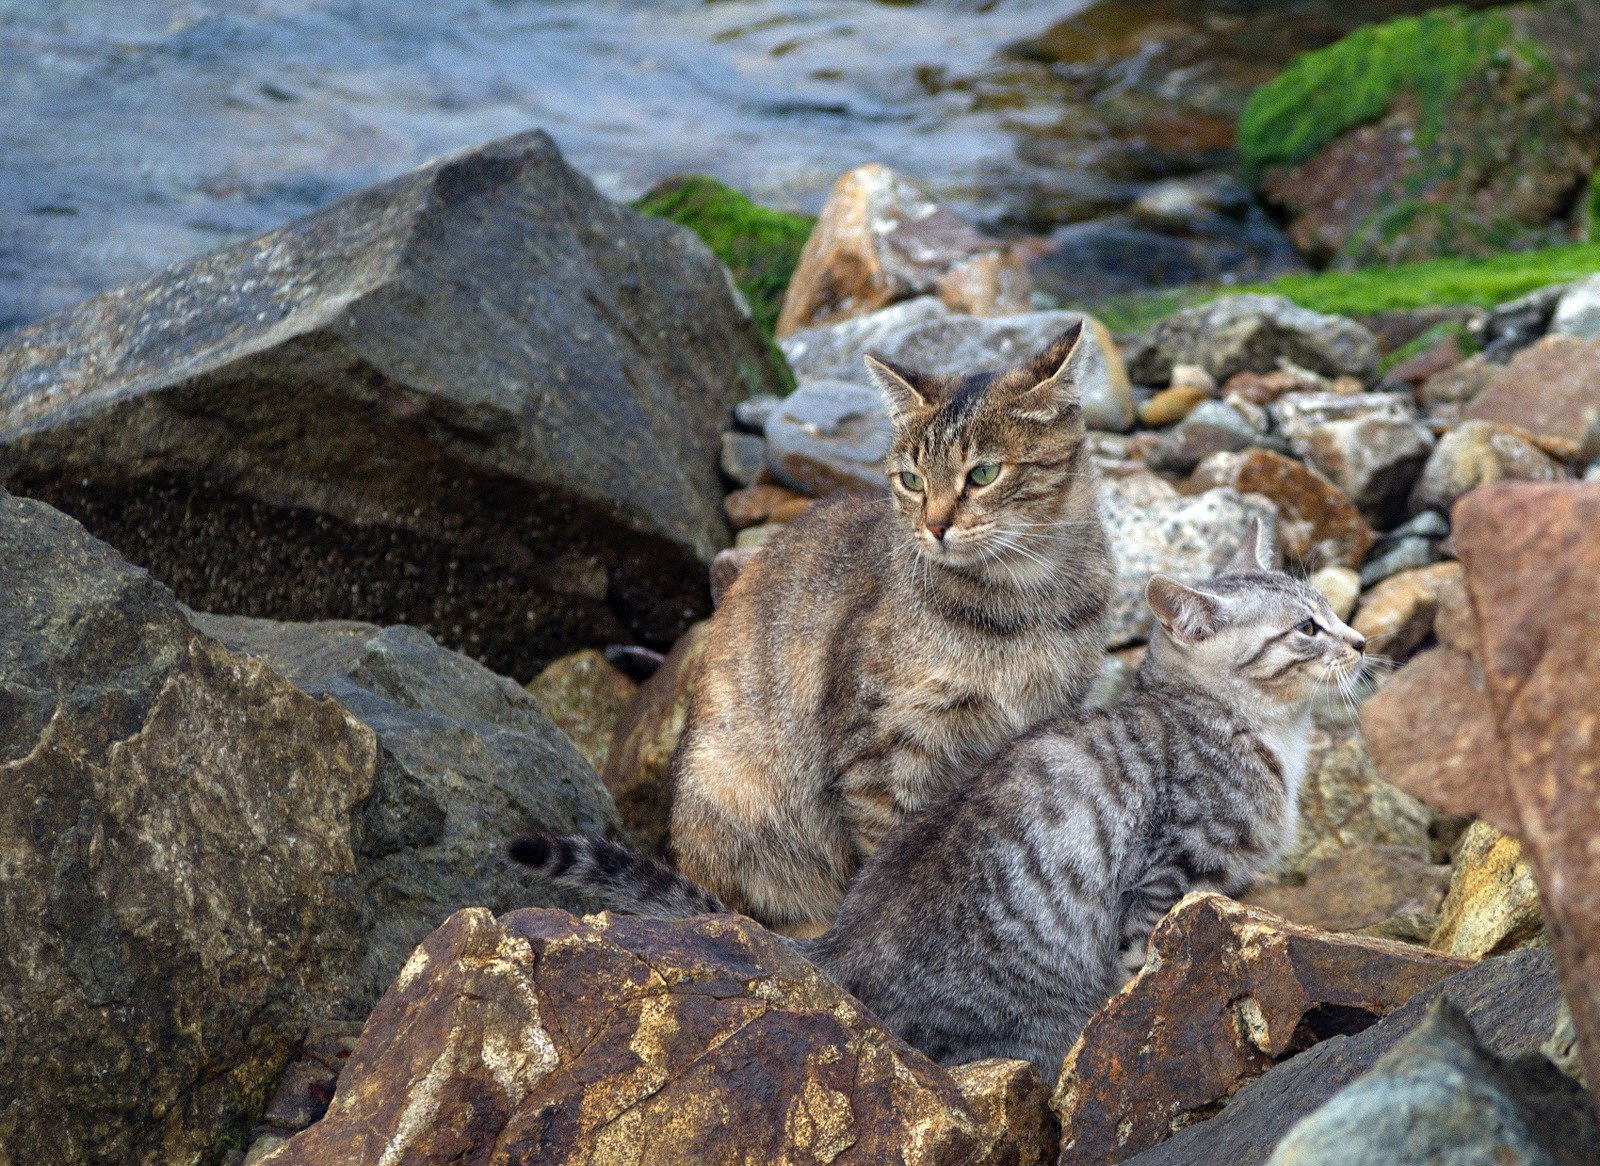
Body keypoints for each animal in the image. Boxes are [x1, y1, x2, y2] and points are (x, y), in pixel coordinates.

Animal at [512, 524, 1363, 1074]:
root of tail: (835, 941)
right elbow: (1142, 966)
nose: (1358, 642)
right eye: (1306, 629)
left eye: (1330, 610)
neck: (1252, 727)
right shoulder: (1168, 876)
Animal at [668, 319, 1107, 934]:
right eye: (911, 480)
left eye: (984, 473)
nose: (936, 526)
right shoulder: (880, 754)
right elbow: (887, 856)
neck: (1025, 603)